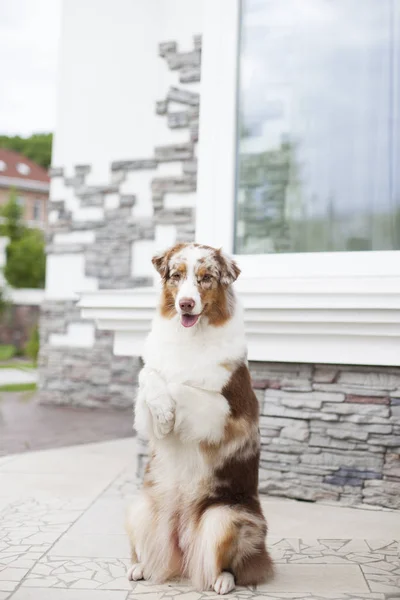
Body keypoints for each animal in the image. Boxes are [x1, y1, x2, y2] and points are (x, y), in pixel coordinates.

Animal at [126, 243, 274, 596]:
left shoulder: (227, 411)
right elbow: (149, 375)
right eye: (176, 276)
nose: (186, 303)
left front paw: (170, 410)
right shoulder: (144, 401)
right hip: (141, 508)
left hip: (226, 517)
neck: (189, 338)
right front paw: (163, 416)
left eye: (207, 278)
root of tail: (184, 543)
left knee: (236, 565)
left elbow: (183, 385)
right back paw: (141, 567)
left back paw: (223, 580)